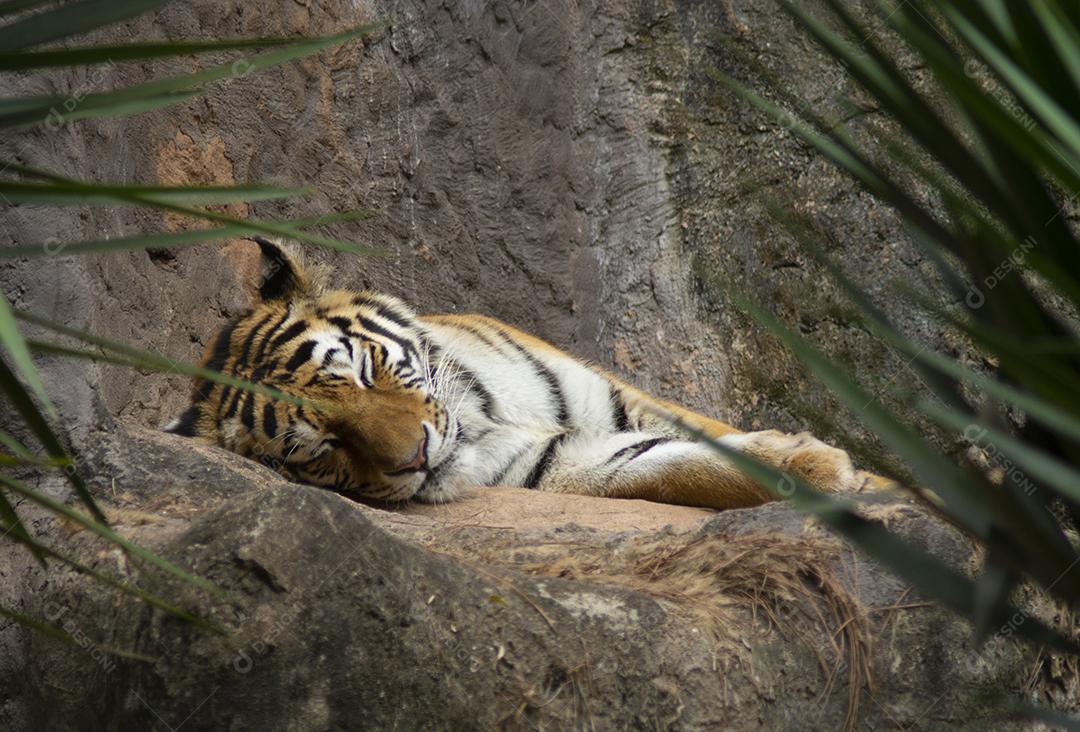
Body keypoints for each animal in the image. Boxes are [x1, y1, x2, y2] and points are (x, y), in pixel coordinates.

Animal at [165, 237, 885, 510]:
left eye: (366, 371)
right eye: (316, 451)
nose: (416, 456)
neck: (481, 419)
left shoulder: (620, 397)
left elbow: (705, 436)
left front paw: (840, 470)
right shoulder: (552, 463)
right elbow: (673, 466)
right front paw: (826, 471)